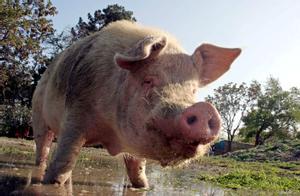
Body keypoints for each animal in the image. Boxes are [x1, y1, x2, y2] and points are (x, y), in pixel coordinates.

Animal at [31, 20, 240, 188]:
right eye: (148, 80)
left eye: (194, 90)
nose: (204, 109)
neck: (110, 133)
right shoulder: (76, 113)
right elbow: (64, 159)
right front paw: (50, 183)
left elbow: (137, 167)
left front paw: (144, 187)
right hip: (38, 115)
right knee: (43, 146)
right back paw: (38, 173)